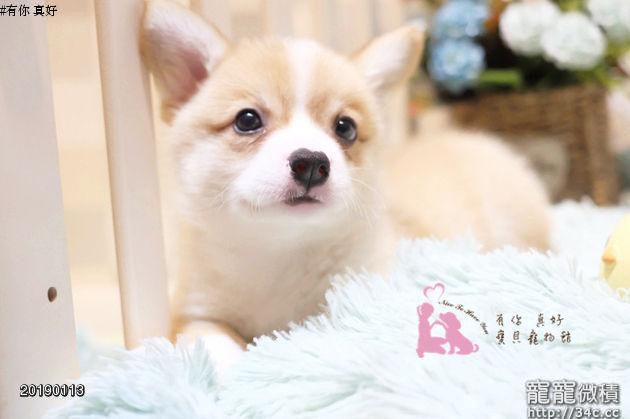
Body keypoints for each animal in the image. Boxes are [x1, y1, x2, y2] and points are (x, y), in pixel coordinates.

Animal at [141, 0, 549, 371]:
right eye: (247, 120)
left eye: (345, 128)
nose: (311, 162)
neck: (280, 252)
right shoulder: (195, 312)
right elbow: (211, 339)